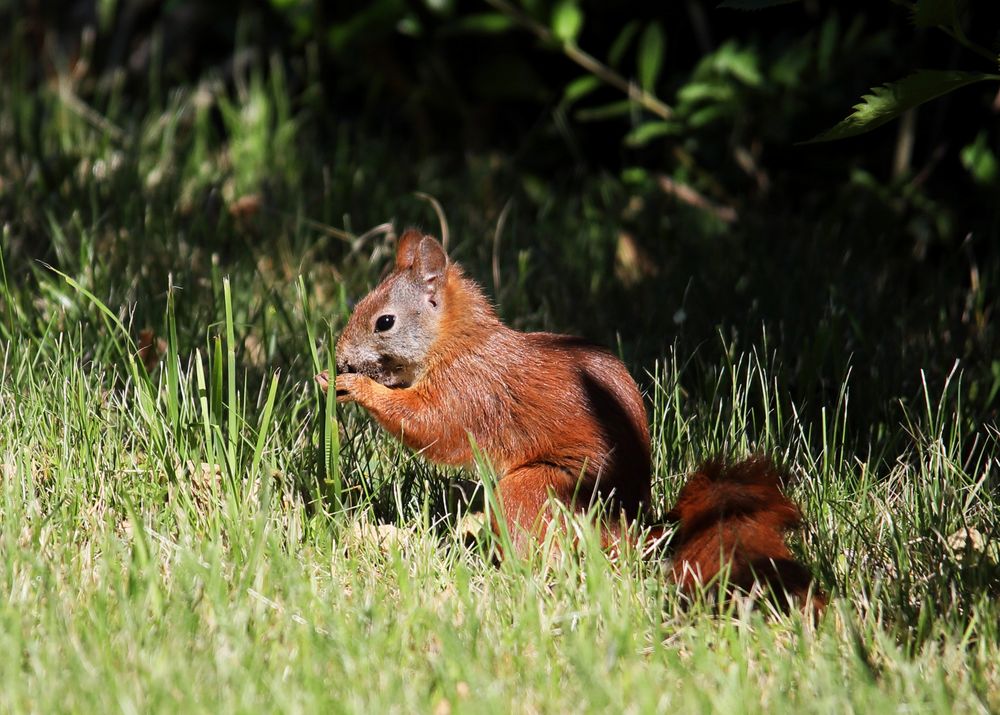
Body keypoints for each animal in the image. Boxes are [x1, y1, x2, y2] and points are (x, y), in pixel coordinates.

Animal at [318, 231, 820, 608]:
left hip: (537, 490)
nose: (340, 356)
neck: (458, 345)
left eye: (385, 322)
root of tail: (627, 528)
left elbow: (431, 427)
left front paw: (353, 386)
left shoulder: (470, 391)